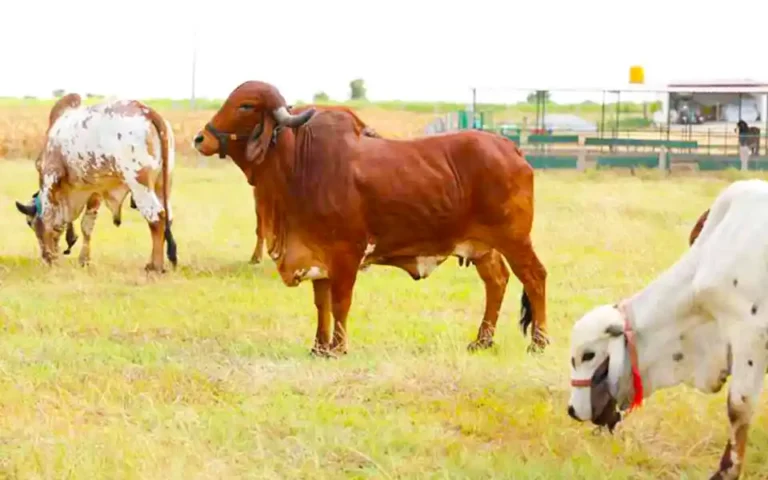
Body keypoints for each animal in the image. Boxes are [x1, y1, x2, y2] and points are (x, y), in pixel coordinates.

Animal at [14, 93, 177, 271]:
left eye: (29, 223)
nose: (46, 258)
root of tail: (147, 111)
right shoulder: (95, 191)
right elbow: (87, 226)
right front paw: (84, 260)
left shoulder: (50, 176)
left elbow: (49, 219)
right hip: (163, 184)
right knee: (167, 217)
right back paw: (153, 263)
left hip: (139, 184)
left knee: (156, 217)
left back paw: (156, 267)